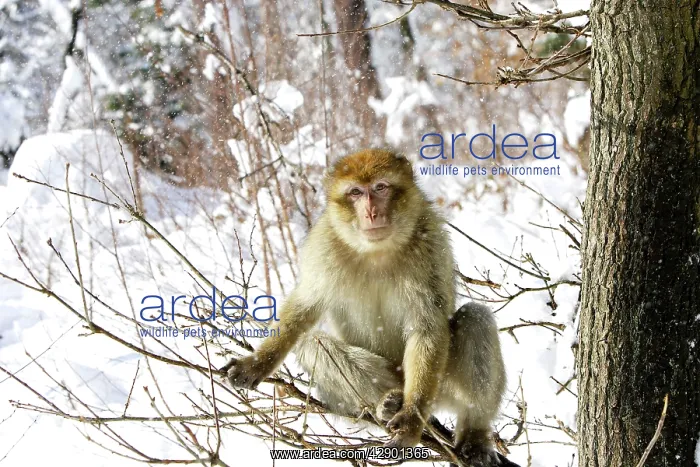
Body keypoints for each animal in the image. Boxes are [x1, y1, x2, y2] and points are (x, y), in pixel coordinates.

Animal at [225, 149, 508, 466]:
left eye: (380, 187)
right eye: (356, 192)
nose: (371, 212)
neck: (377, 251)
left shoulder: (432, 244)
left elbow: (427, 327)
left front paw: (411, 420)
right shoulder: (323, 246)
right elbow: (304, 307)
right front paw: (256, 363)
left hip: (440, 389)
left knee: (475, 318)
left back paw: (473, 435)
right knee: (313, 344)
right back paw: (387, 403)